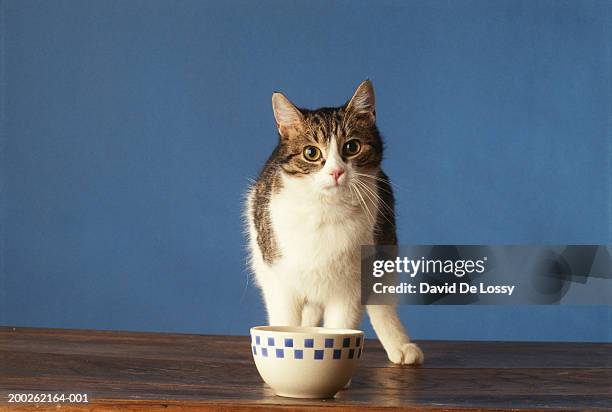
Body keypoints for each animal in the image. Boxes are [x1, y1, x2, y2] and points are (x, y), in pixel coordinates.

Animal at [246, 80, 424, 364]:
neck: (326, 209)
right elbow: (285, 321)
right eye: (311, 152)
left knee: (382, 304)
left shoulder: (350, 289)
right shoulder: (280, 279)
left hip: (383, 251)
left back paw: (399, 344)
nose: (336, 172)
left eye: (351, 147)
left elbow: (340, 326)